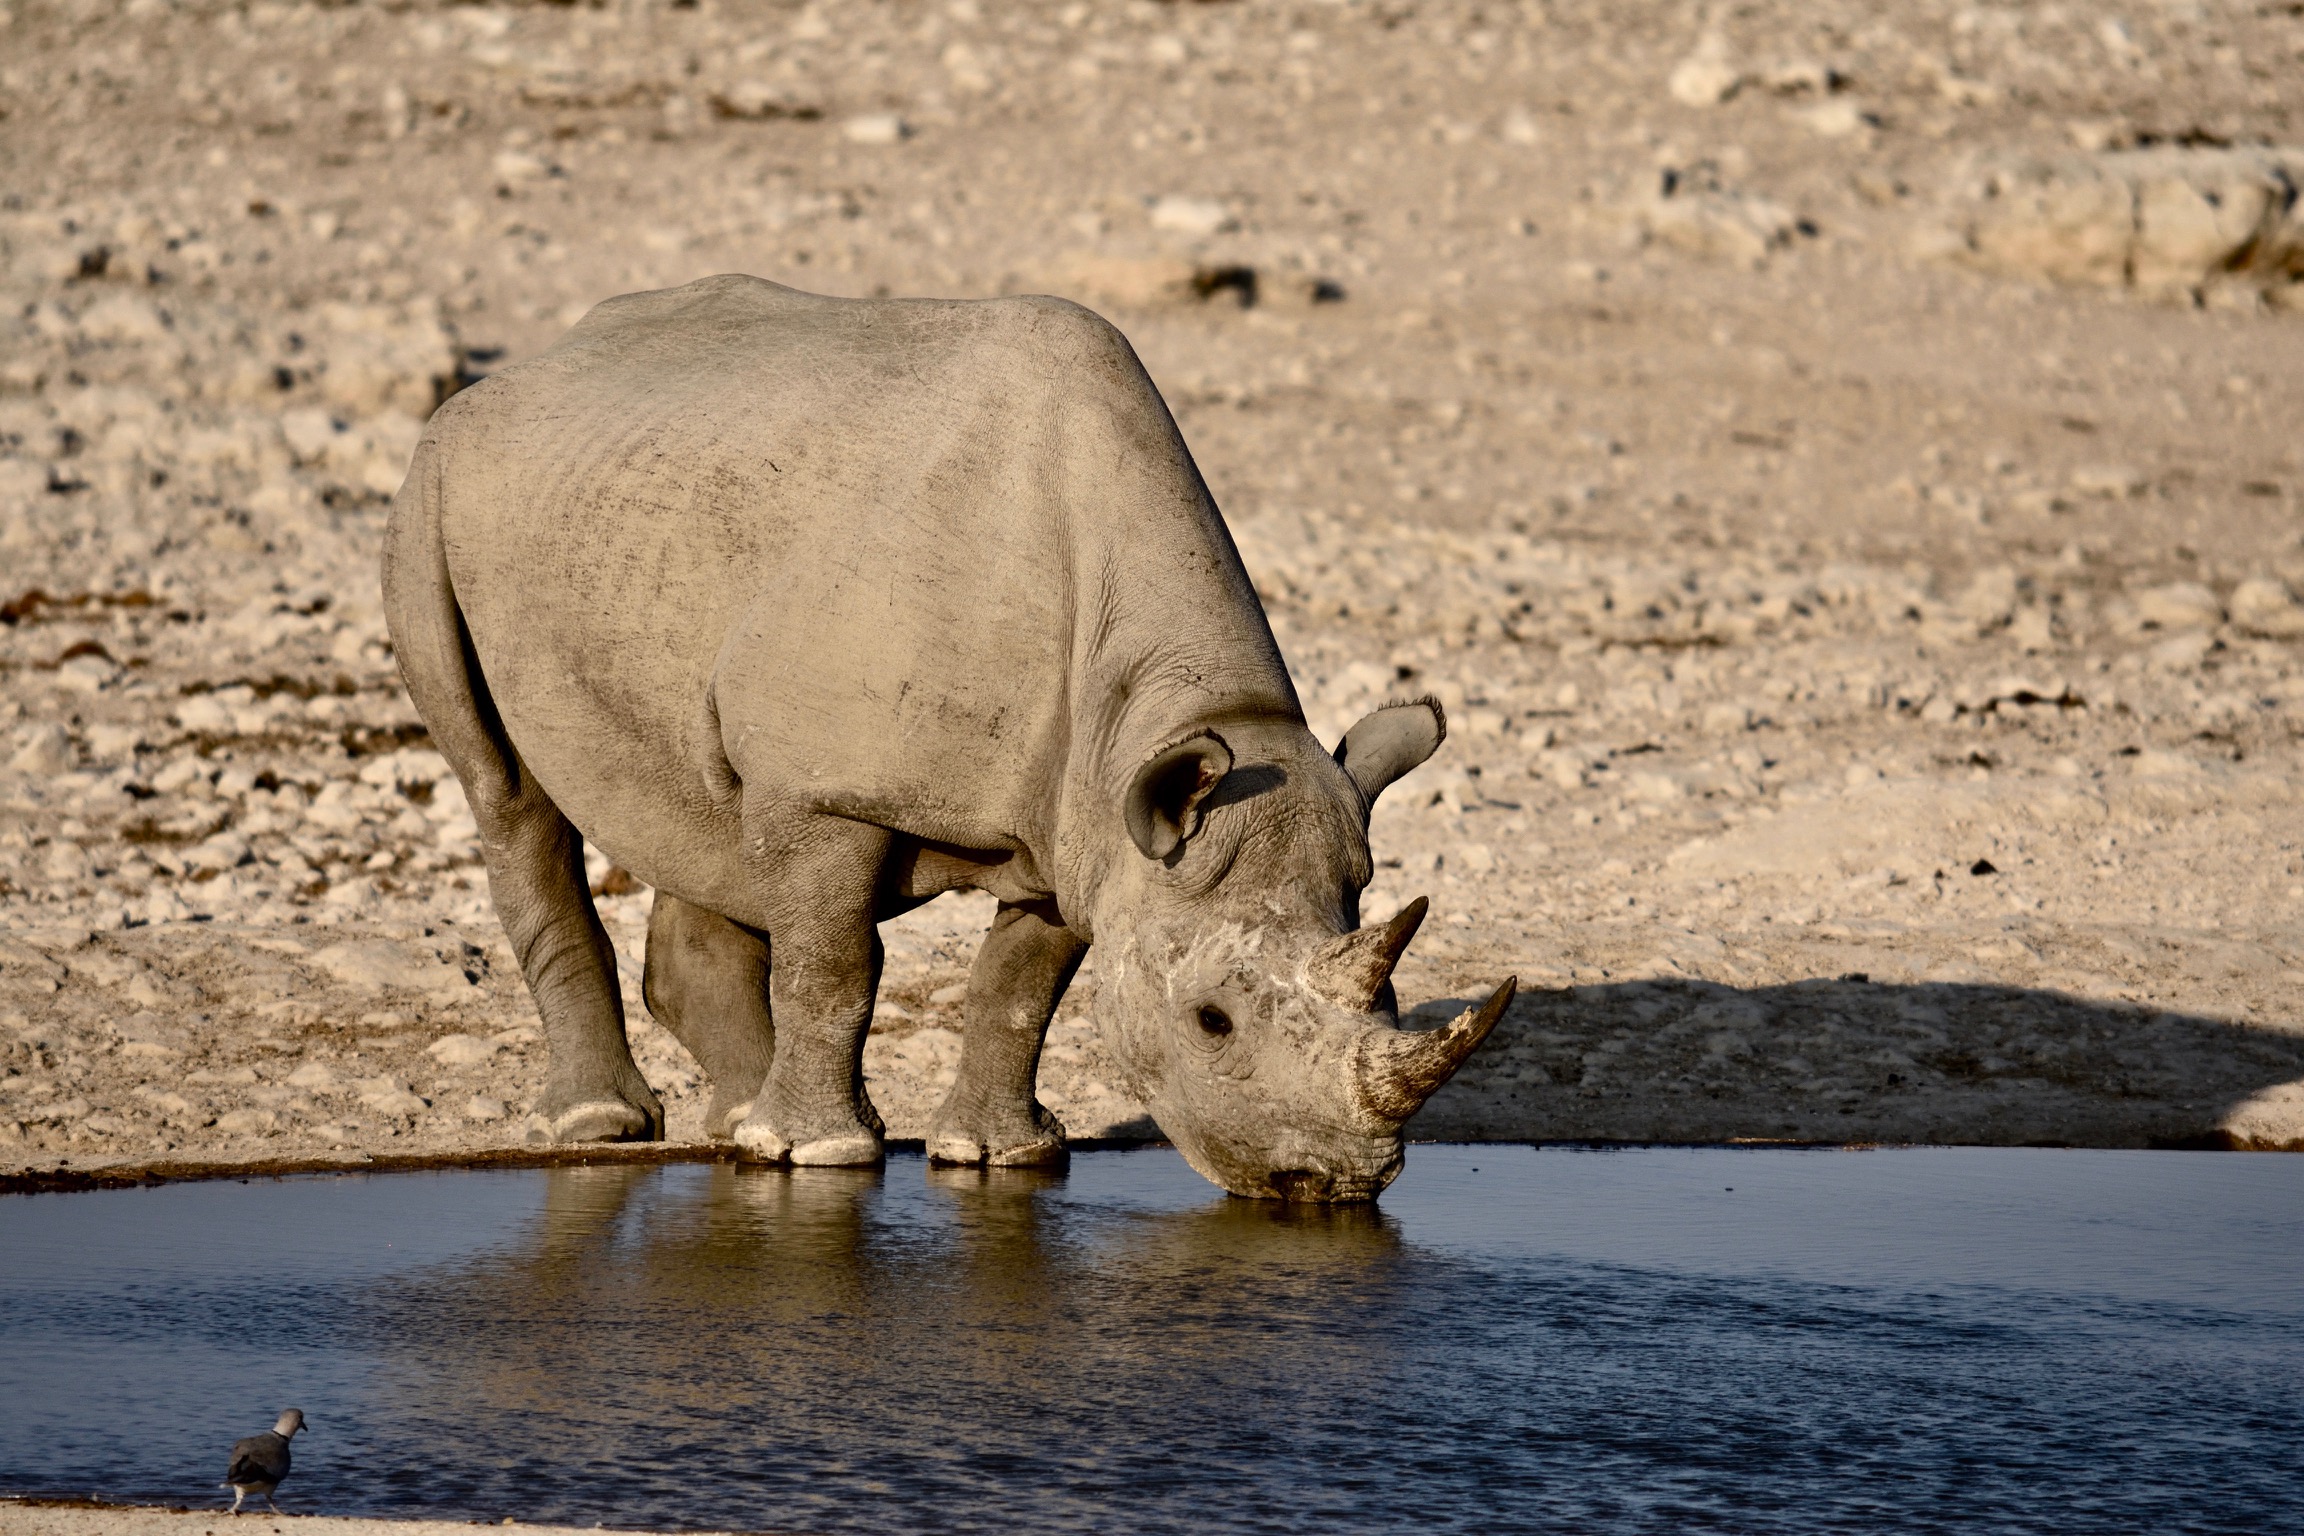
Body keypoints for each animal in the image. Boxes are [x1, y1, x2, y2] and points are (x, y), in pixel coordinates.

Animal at [382, 274, 1511, 1202]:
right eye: (1211, 1023)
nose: (1333, 1185)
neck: (1179, 712)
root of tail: (526, 367)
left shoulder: (1088, 814)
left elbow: (1021, 987)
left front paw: (998, 1155)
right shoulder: (833, 789)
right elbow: (836, 966)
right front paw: (821, 1157)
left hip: (639, 513)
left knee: (704, 812)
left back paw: (739, 1121)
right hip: (433, 483)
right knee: (506, 787)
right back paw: (611, 1126)